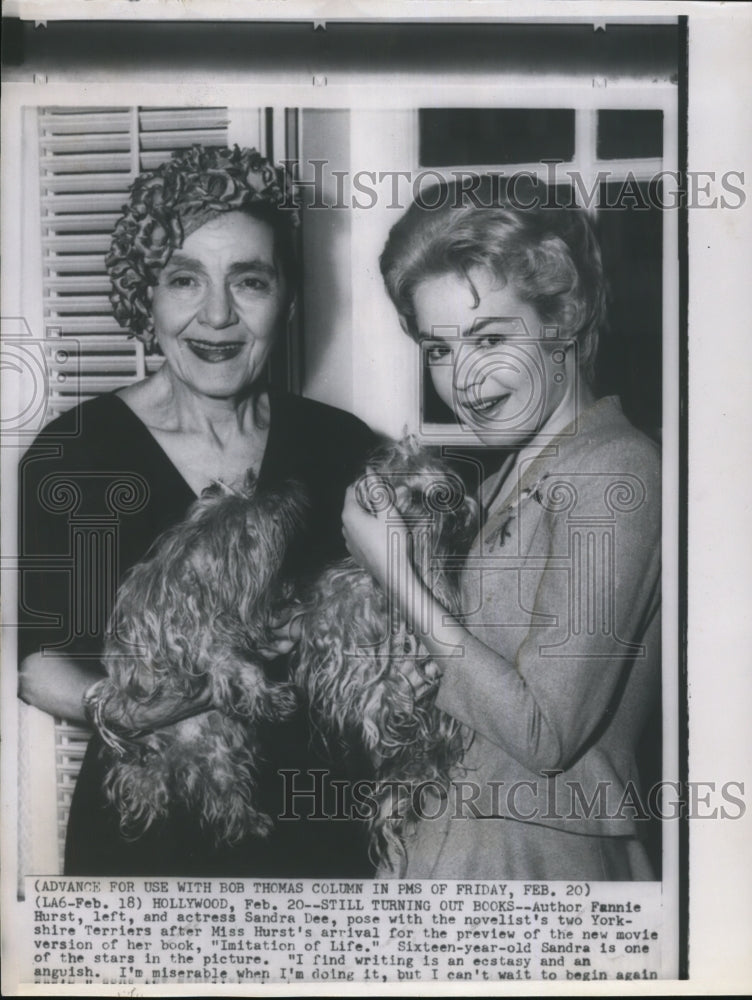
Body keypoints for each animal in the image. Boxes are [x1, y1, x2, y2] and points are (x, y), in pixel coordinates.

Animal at [83, 472, 304, 848]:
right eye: (264, 506)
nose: (288, 493)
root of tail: (181, 758)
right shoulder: (203, 645)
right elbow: (243, 666)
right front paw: (265, 695)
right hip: (149, 760)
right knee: (144, 782)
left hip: (220, 758)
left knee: (227, 795)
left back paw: (249, 823)